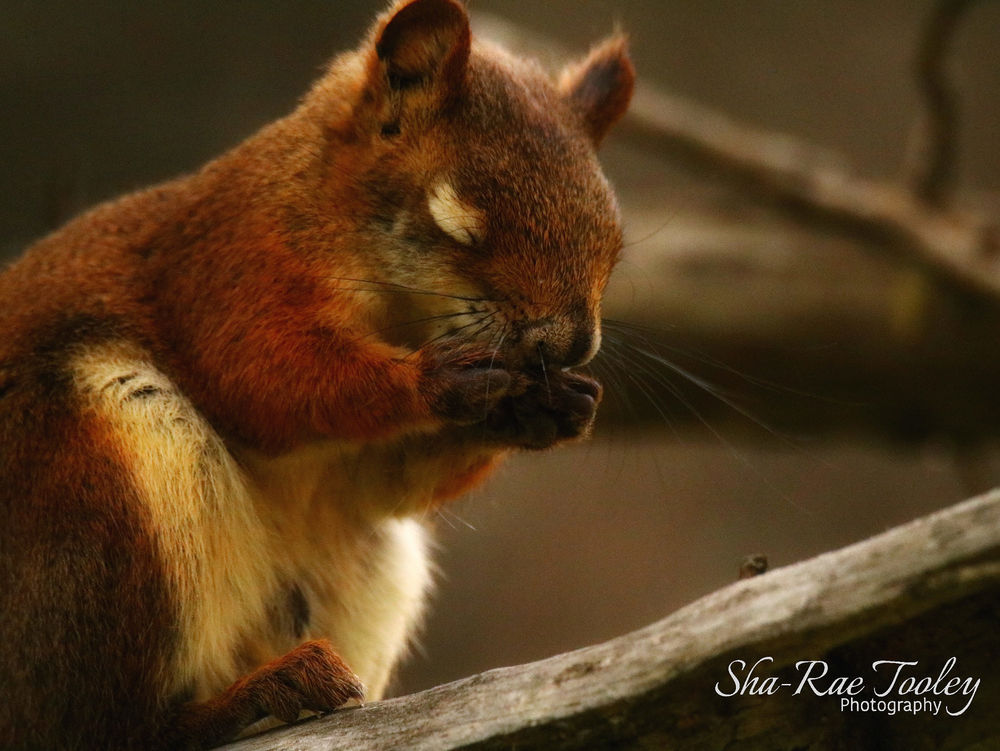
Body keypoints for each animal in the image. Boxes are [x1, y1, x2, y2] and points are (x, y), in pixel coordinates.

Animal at [0, 0, 634, 748]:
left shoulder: (356, 471)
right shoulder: (225, 267)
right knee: (105, 725)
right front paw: (437, 381)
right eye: (459, 225)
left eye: (614, 242)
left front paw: (542, 410)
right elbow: (261, 377)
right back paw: (255, 695)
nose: (570, 344)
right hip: (100, 480)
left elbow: (383, 481)